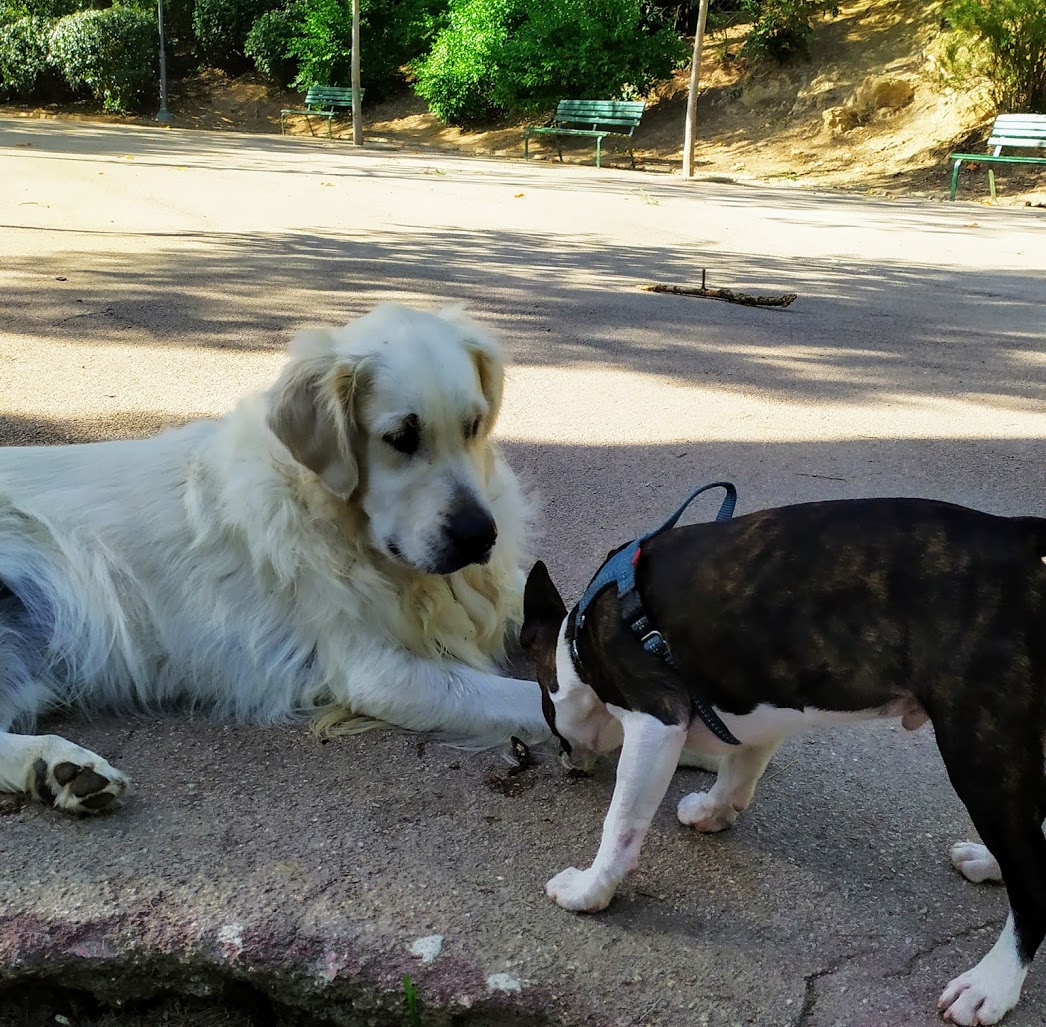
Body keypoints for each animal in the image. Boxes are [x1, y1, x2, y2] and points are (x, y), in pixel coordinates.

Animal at [0, 302, 549, 814]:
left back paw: (57, 771)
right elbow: (536, 699)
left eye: (472, 426)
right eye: (401, 438)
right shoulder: (380, 671)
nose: (481, 537)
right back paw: (60, 765)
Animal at [520, 493, 1046, 1026]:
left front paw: (591, 888)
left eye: (545, 707)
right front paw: (714, 809)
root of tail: (1021, 537)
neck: (578, 643)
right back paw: (988, 862)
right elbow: (740, 765)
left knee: (1033, 882)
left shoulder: (656, 718)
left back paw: (991, 983)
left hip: (979, 745)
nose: (566, 758)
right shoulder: (759, 705)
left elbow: (622, 822)